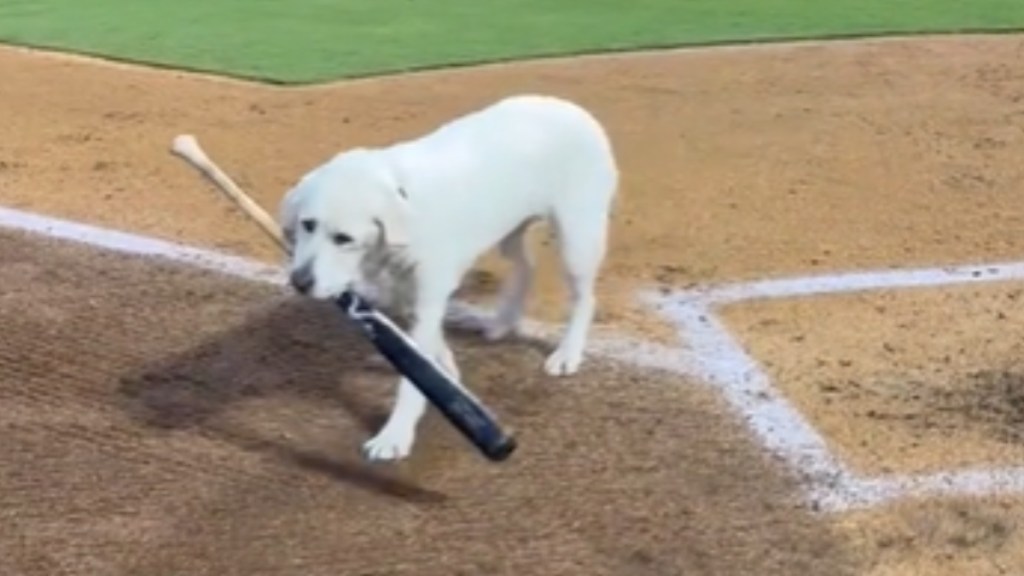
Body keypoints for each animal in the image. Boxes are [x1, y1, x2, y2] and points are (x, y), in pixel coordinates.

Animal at [276, 95, 618, 461]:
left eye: (343, 238)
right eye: (308, 225)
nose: (299, 282)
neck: (404, 206)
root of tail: (571, 107)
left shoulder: (427, 300)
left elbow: (413, 379)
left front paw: (395, 435)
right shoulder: (409, 298)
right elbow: (428, 359)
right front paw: (449, 377)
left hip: (577, 238)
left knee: (585, 299)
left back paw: (568, 354)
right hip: (509, 232)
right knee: (527, 266)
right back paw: (504, 321)